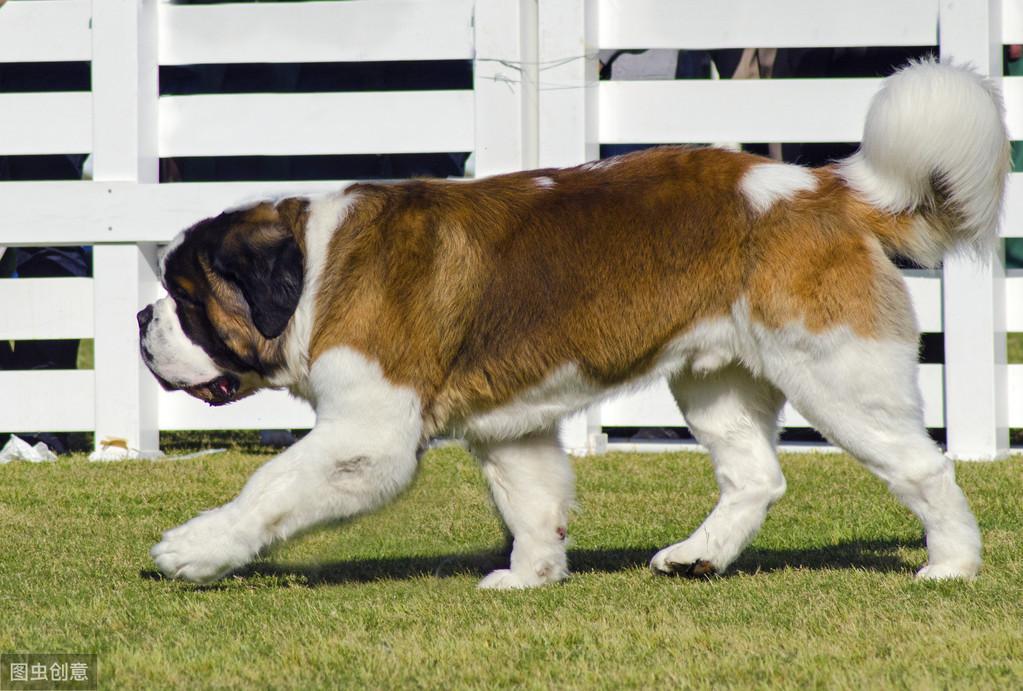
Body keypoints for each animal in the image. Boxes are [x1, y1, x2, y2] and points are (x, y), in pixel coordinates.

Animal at [142, 60, 1006, 589]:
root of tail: (819, 187)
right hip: (715, 378)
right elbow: (532, 497)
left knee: (920, 465)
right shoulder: (508, 426)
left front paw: (195, 548)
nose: (141, 318)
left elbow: (272, 485)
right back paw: (698, 555)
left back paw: (952, 563)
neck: (314, 267)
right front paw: (529, 574)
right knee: (754, 474)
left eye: (185, 298)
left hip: (834, 371)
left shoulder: (366, 435)